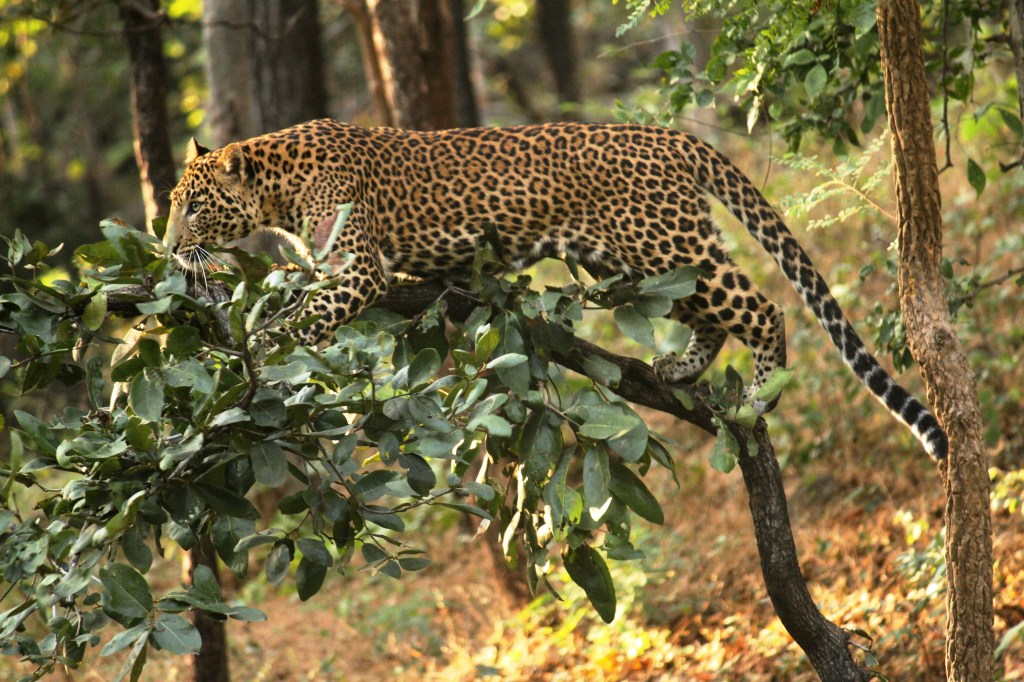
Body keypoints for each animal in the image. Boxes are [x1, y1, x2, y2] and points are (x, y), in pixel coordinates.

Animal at [166, 118, 947, 460]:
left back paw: (758, 400)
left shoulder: (357, 269)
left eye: (195, 207)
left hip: (666, 241)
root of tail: (670, 135)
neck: (277, 187)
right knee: (711, 314)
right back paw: (679, 368)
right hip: (640, 260)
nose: (168, 247)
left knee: (762, 307)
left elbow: (305, 317)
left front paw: (258, 354)